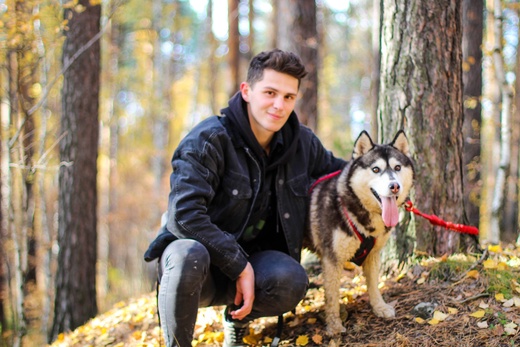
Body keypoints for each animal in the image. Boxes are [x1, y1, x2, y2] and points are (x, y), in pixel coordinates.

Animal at [308, 130, 414, 338]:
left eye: (397, 167)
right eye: (376, 169)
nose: (394, 186)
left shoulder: (373, 254)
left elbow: (374, 284)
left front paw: (379, 307)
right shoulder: (331, 260)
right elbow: (332, 296)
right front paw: (334, 326)